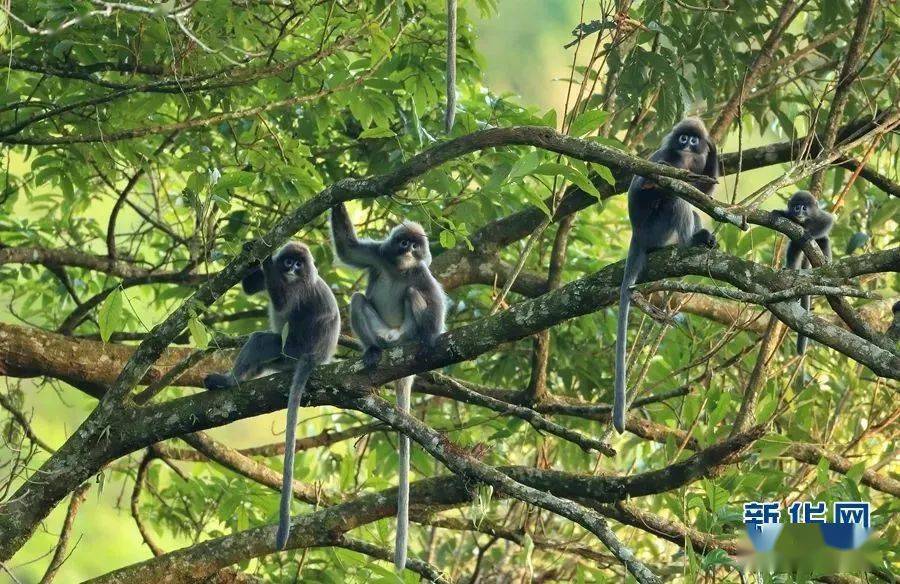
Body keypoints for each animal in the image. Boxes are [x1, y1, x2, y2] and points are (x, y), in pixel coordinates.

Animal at [202, 240, 340, 548]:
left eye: (298, 264)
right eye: (289, 261)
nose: (290, 269)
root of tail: (317, 357)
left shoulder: (300, 289)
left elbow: (284, 305)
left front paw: (264, 258)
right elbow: (250, 286)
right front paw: (251, 251)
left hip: (289, 353)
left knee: (263, 340)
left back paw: (228, 381)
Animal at [328, 202, 444, 572]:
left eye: (415, 246)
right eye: (402, 243)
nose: (408, 251)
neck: (400, 268)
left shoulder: (422, 274)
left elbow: (434, 306)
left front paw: (433, 338)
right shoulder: (378, 256)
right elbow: (349, 248)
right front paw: (335, 194)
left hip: (407, 329)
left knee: (413, 295)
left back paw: (419, 341)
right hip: (379, 330)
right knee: (357, 300)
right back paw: (373, 351)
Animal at [612, 117, 716, 434]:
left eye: (693, 140)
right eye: (682, 138)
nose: (687, 144)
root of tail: (637, 234)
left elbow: (704, 196)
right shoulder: (667, 160)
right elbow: (650, 184)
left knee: (688, 204)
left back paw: (701, 238)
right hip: (656, 229)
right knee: (675, 199)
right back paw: (689, 242)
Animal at [768, 192, 832, 354]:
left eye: (804, 207)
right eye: (796, 207)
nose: (799, 211)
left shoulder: (820, 216)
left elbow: (828, 221)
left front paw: (810, 234)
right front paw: (779, 213)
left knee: (824, 241)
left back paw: (826, 260)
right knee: (794, 247)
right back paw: (790, 269)